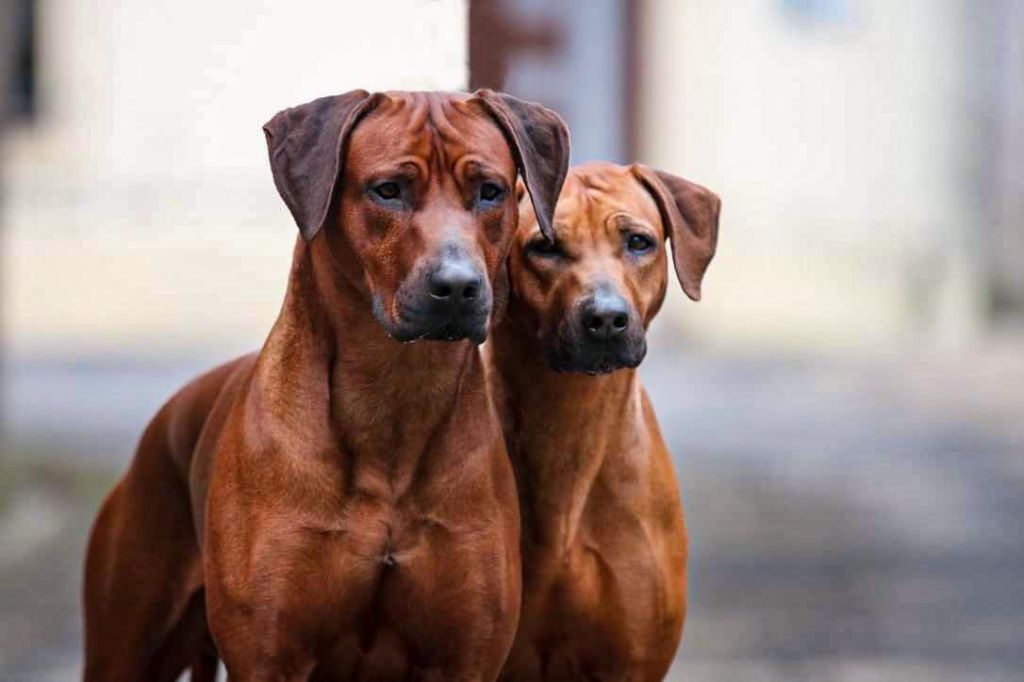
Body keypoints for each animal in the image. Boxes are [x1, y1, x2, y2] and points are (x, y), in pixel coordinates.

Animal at [81, 90, 569, 679]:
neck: (393, 396)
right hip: (127, 642)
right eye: (388, 190)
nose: (458, 287)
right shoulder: (269, 656)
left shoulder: (465, 658)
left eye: (490, 191)